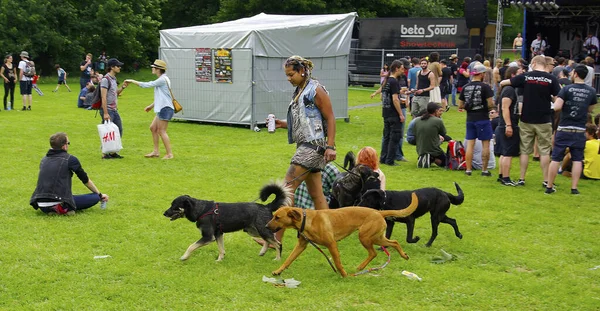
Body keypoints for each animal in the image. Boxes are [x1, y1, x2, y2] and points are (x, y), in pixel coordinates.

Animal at [163, 184, 292, 262]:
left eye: (174, 206)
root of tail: (267, 206)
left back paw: (278, 259)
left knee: (278, 244)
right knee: (269, 240)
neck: (201, 210)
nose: (164, 213)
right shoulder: (218, 234)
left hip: (261, 229)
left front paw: (184, 257)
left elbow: (191, 246)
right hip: (254, 230)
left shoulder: (208, 237)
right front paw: (219, 260)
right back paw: (262, 252)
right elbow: (221, 249)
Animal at [268, 194, 418, 280]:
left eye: (277, 217)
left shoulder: (332, 244)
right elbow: (288, 260)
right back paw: (404, 255)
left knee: (373, 252)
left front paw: (344, 275)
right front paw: (278, 271)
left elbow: (338, 263)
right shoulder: (301, 245)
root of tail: (379, 212)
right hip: (377, 237)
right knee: (394, 242)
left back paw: (360, 267)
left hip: (365, 237)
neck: (307, 220)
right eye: (273, 216)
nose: (266, 226)